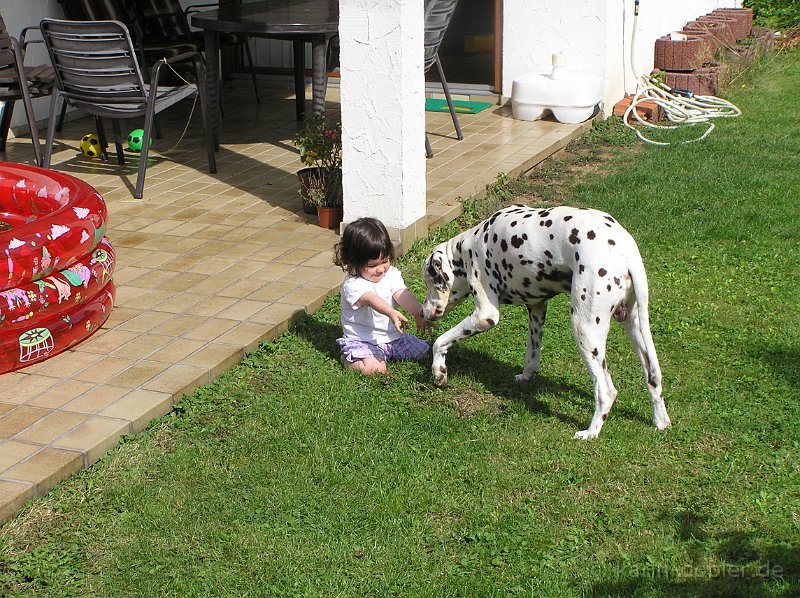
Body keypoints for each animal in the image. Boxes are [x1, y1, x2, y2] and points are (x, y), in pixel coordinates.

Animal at [422, 207, 672, 440]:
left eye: (428, 283)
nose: (423, 311)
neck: (468, 245)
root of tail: (626, 252)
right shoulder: (537, 309)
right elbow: (531, 357)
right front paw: (525, 377)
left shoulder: (485, 315)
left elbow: (440, 341)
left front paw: (439, 371)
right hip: (635, 329)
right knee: (653, 378)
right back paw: (660, 422)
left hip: (584, 329)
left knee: (606, 391)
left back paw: (590, 432)